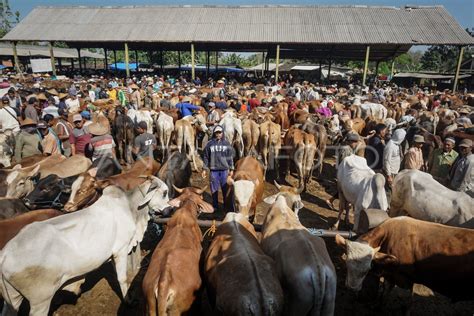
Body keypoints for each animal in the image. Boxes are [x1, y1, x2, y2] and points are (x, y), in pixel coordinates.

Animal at [0, 177, 170, 314]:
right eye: (164, 193)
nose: (170, 209)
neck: (131, 207)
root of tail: (5, 254)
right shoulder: (120, 250)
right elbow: (122, 278)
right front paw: (128, 300)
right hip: (40, 301)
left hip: (12, 299)